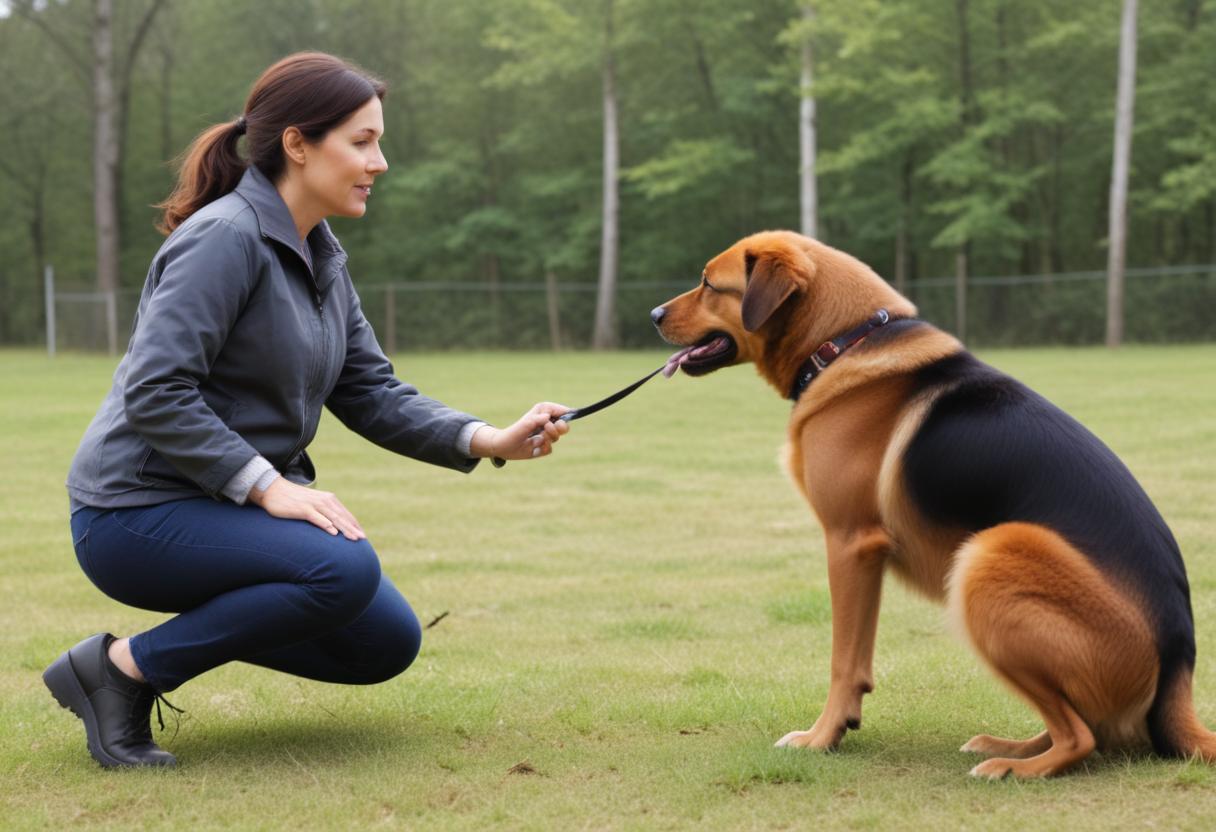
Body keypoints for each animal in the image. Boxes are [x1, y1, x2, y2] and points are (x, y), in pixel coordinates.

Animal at [651, 231, 1211, 778]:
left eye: (709, 284)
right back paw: (1012, 746)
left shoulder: (849, 544)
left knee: (1082, 738)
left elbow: (842, 660)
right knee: (1086, 728)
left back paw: (1012, 766)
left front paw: (821, 737)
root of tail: (1178, 664)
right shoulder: (866, 557)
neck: (844, 341)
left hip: (991, 555)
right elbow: (859, 658)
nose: (654, 314)